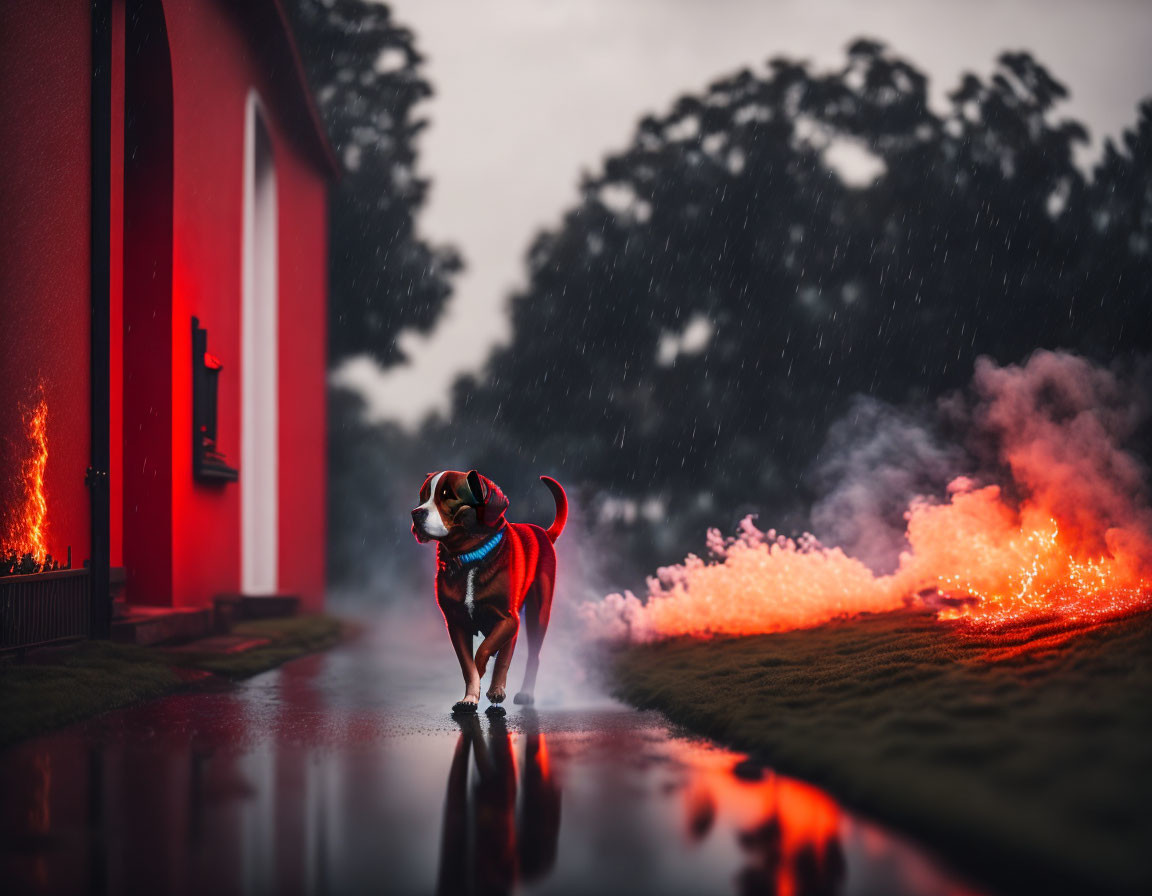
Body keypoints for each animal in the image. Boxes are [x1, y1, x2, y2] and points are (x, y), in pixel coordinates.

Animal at [410, 467, 566, 714]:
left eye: (448, 495)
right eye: (422, 497)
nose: (415, 514)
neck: (470, 557)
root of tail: (543, 533)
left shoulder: (508, 620)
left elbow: (485, 654)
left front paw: (491, 685)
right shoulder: (456, 623)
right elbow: (468, 664)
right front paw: (470, 697)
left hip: (537, 613)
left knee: (530, 654)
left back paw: (518, 692)